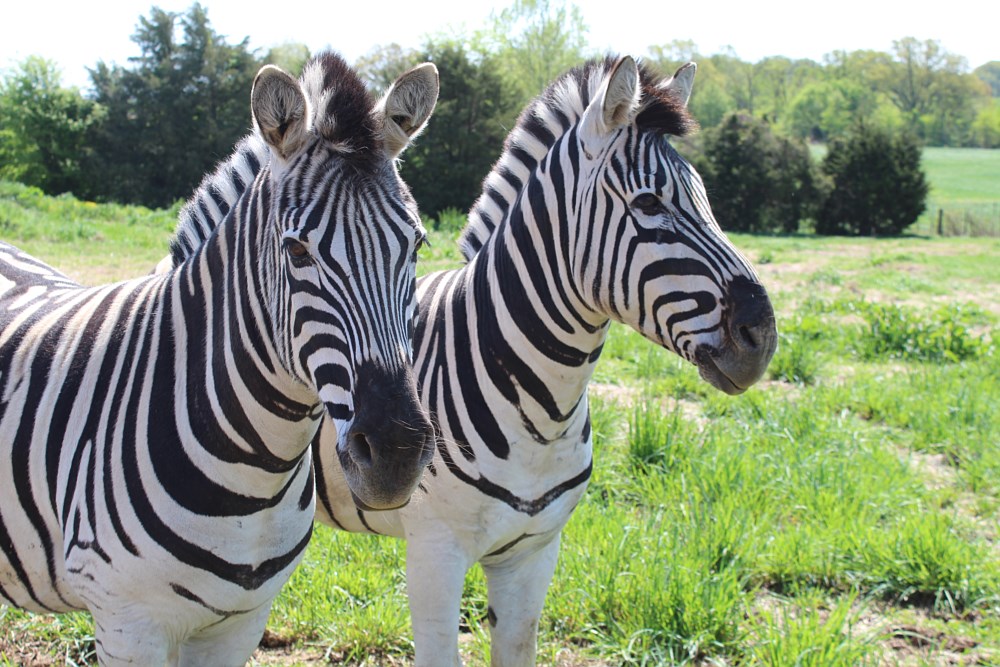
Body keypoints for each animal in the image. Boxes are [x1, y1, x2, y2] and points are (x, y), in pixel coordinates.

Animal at [0, 49, 438, 664]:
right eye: (296, 251)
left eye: (416, 246)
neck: (256, 475)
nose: (396, 454)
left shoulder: (241, 622)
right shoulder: (127, 625)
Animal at [160, 56, 776, 667]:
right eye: (649, 203)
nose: (763, 336)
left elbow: (519, 647)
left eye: (704, 196)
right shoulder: (436, 550)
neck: (540, 407)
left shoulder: (535, 550)